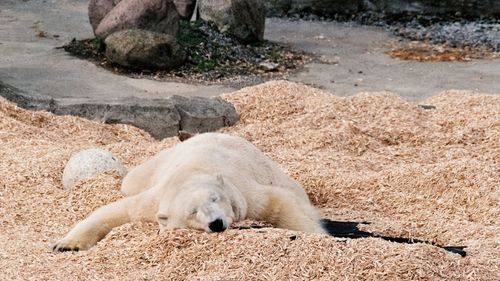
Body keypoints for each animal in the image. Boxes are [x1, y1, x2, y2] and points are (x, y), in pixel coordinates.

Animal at [52, 132, 326, 250]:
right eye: (192, 212)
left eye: (215, 198)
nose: (216, 223)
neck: (191, 173)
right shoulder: (153, 202)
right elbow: (114, 211)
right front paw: (65, 245)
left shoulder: (242, 189)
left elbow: (280, 203)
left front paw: (319, 237)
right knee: (128, 182)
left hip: (271, 169)